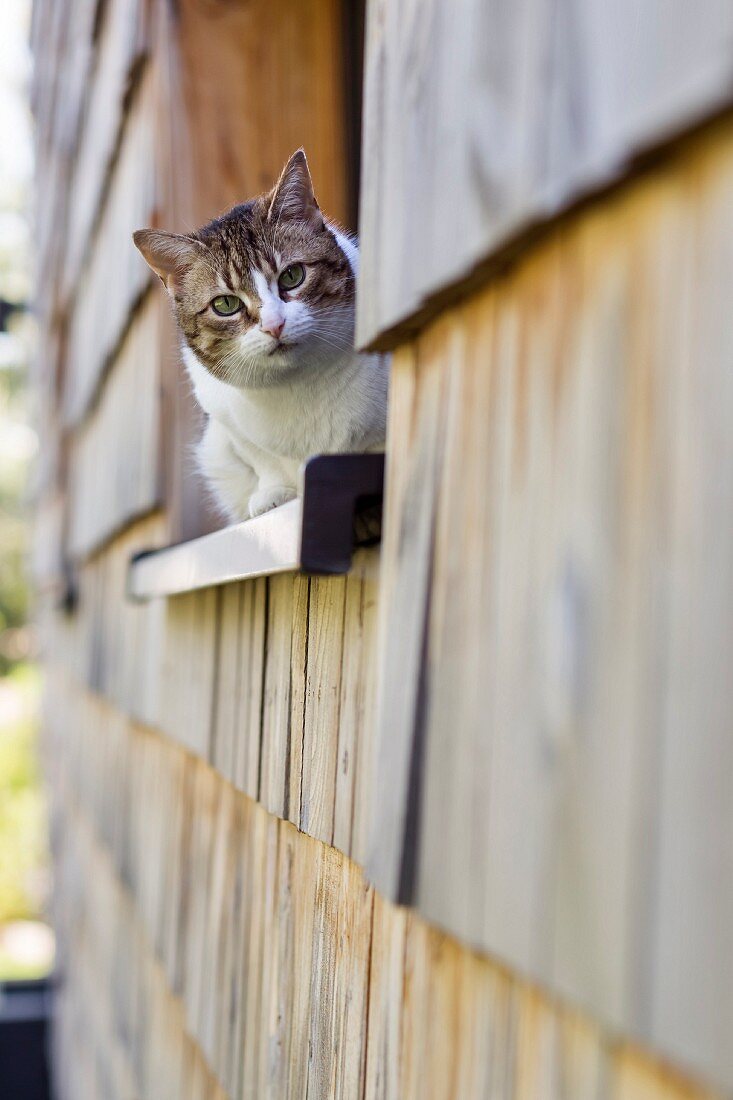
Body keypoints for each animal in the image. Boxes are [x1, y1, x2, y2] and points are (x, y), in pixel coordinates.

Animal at [135, 151, 387, 523]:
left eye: (293, 275)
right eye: (225, 304)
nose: (274, 325)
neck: (297, 385)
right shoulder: (223, 417)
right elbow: (262, 458)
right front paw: (274, 493)